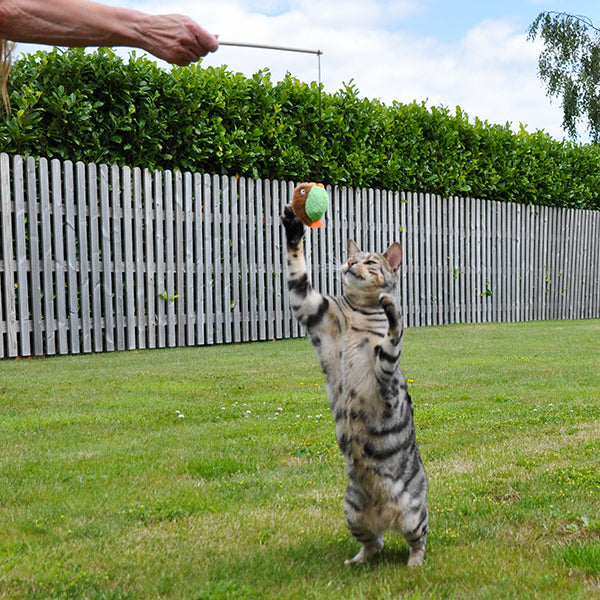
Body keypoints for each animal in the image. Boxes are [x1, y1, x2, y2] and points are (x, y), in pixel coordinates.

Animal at [280, 205, 426, 568]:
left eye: (370, 261)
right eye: (352, 256)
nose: (348, 263)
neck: (359, 311)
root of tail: (385, 516)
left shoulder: (385, 372)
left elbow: (392, 336)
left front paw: (391, 309)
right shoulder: (310, 307)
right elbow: (296, 269)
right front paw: (293, 226)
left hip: (414, 514)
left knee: (417, 542)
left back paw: (414, 564)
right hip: (352, 512)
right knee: (375, 544)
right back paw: (357, 560)